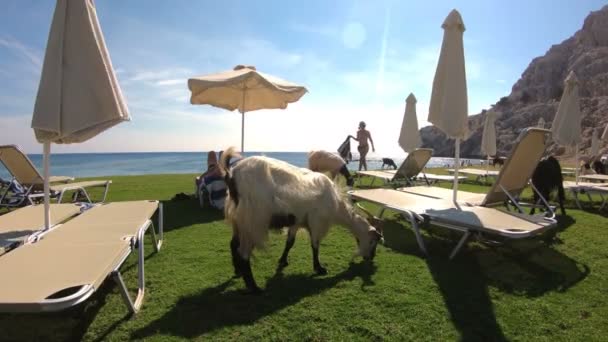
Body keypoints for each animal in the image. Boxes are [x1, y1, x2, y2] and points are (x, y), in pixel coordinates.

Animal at [217, 147, 380, 294]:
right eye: (373, 241)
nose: (371, 258)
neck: (337, 207)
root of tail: (232, 174)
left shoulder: (297, 221)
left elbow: (290, 242)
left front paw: (283, 261)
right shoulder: (317, 222)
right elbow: (315, 245)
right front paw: (319, 268)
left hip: (239, 220)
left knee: (233, 244)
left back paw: (237, 271)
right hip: (253, 221)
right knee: (243, 254)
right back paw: (254, 288)